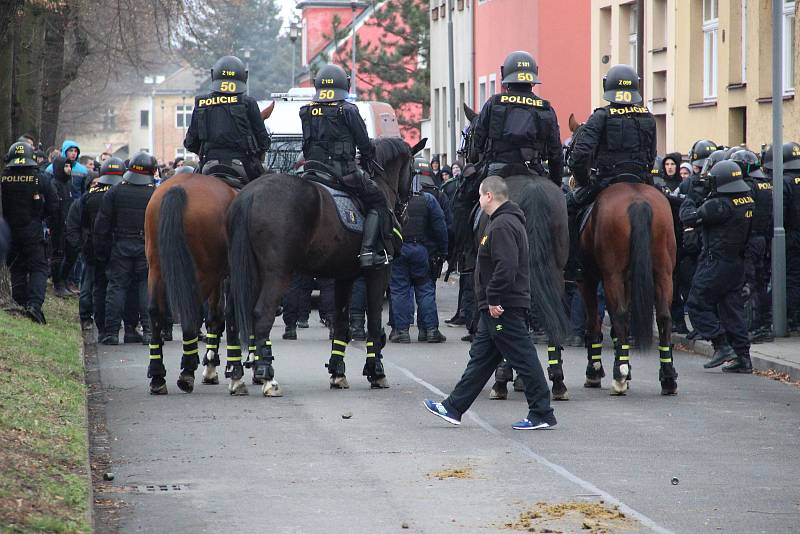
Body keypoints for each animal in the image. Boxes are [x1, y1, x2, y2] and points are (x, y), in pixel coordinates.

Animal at [228, 137, 422, 398]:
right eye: (413, 170)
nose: (405, 213)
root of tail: (251, 194)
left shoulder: (344, 277)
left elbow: (340, 323)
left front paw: (338, 372)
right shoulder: (379, 273)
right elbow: (373, 323)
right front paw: (376, 371)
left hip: (247, 274)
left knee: (234, 317)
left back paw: (237, 376)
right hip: (277, 274)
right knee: (261, 313)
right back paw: (267, 375)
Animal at [564, 114, 680, 398]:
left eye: (573, 147)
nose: (572, 181)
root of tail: (637, 201)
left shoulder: (588, 280)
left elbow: (595, 322)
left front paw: (596, 371)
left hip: (611, 275)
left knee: (619, 314)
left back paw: (618, 376)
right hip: (662, 272)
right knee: (663, 317)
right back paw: (667, 377)